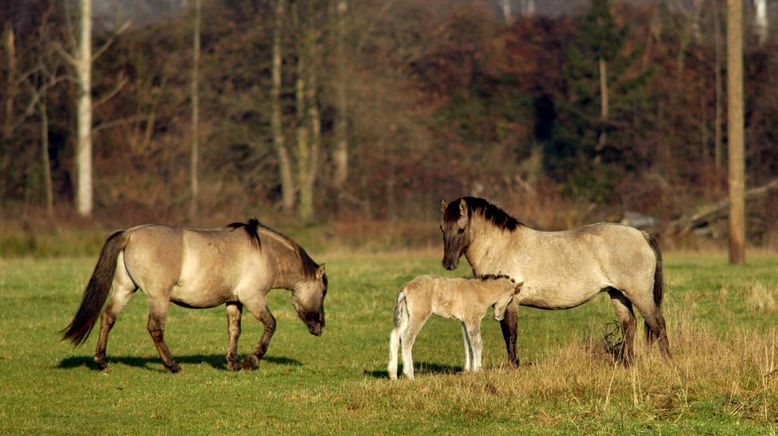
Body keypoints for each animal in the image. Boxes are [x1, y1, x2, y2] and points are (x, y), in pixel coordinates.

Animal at [62, 220, 326, 372]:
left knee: (108, 317)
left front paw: (233, 362)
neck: (266, 252)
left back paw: (101, 361)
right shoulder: (253, 298)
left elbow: (234, 330)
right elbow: (271, 324)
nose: (320, 327)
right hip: (158, 297)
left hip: (124, 288)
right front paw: (253, 359)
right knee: (155, 327)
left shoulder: (234, 301)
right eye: (323, 292)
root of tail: (131, 234)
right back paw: (172, 365)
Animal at [440, 198, 668, 368]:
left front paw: (514, 366)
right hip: (617, 294)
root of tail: (642, 234)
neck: (501, 247)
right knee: (629, 324)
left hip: (639, 294)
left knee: (658, 323)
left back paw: (668, 362)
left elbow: (510, 334)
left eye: (461, 228)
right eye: (443, 228)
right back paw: (628, 365)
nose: (448, 263)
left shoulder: (509, 302)